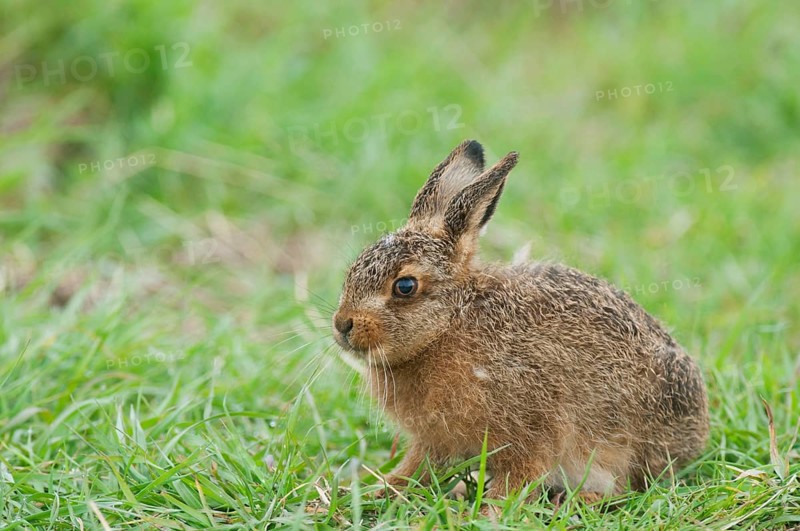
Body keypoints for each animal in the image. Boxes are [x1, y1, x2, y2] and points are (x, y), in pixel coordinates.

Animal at [332, 140, 709, 504]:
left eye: (405, 286)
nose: (342, 325)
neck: (448, 325)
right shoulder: (434, 440)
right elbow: (417, 467)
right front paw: (382, 488)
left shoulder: (532, 425)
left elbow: (520, 473)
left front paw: (490, 509)